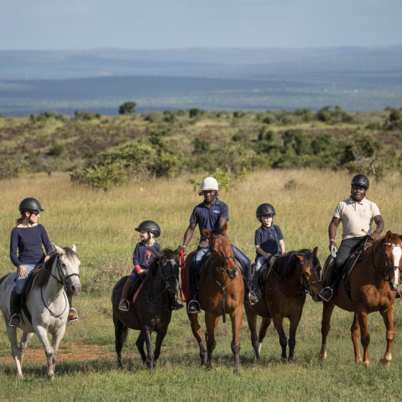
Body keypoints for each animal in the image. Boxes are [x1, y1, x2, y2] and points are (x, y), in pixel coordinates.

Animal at [186, 228, 245, 372]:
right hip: (192, 310)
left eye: (229, 244)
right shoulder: (210, 313)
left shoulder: (236, 311)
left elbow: (235, 342)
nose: (232, 271)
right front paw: (209, 366)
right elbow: (211, 341)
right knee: (197, 330)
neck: (224, 281)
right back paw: (203, 358)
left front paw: (237, 368)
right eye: (213, 249)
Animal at [320, 232, 402, 368]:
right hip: (329, 303)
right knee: (325, 328)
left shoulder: (387, 308)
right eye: (386, 254)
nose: (394, 281)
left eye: (401, 255)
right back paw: (323, 356)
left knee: (354, 331)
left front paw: (386, 360)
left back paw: (357, 359)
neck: (377, 281)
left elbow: (390, 333)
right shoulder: (363, 310)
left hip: (355, 311)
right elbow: (366, 337)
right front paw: (366, 362)